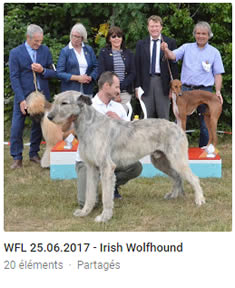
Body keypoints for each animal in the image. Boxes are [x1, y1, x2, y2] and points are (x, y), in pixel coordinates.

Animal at [48, 90, 206, 223]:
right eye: (55, 100)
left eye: (64, 103)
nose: (49, 117)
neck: (89, 125)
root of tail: (178, 127)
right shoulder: (91, 167)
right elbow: (89, 194)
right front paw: (85, 212)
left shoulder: (106, 167)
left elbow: (106, 197)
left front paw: (104, 217)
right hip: (161, 161)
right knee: (177, 176)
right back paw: (173, 195)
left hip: (177, 159)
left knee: (194, 178)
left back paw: (199, 200)